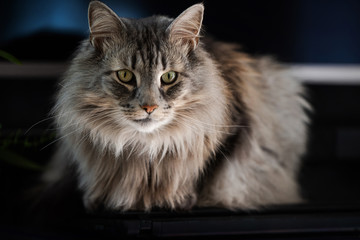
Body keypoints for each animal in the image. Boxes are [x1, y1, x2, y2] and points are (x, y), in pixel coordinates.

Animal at [43, 0, 310, 211]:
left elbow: (210, 174)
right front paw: (98, 199)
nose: (149, 107)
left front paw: (180, 200)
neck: (144, 148)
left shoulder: (234, 131)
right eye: (125, 76)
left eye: (169, 77)